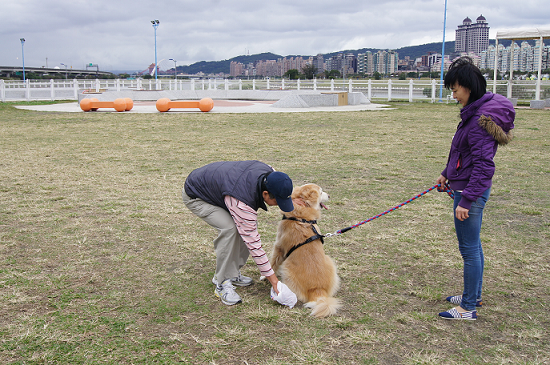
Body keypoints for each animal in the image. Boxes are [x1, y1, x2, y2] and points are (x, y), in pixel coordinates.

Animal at [270, 183, 342, 318]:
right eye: (321, 192)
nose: (329, 195)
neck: (301, 216)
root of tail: (318, 289)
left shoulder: (279, 246)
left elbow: (273, 262)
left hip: (287, 267)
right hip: (329, 261)